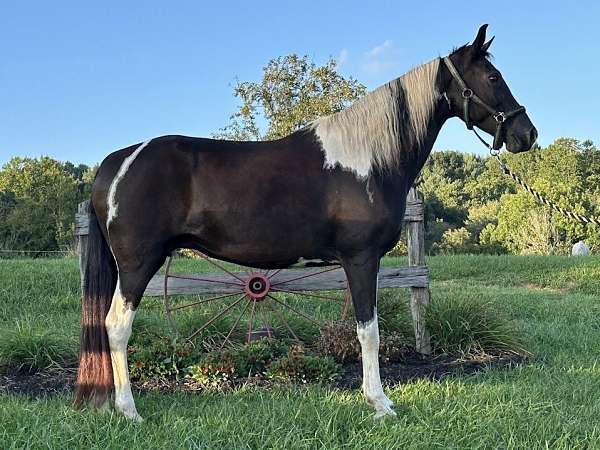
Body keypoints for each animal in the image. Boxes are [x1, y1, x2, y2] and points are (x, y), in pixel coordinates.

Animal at [75, 23, 540, 418]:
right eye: (493, 77)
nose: (528, 135)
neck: (369, 159)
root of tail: (117, 162)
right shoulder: (361, 259)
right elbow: (369, 332)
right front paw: (380, 403)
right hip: (138, 265)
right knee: (116, 327)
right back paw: (129, 410)